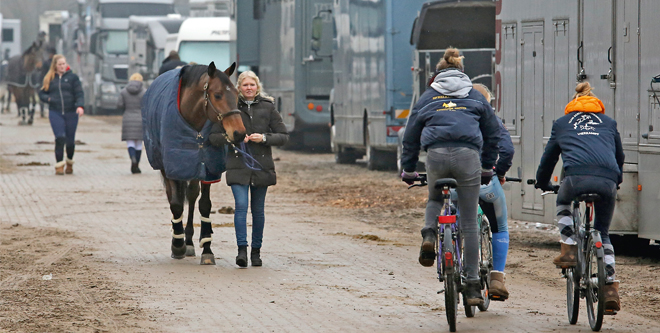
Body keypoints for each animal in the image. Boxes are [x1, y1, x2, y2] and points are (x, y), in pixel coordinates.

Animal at [142, 61, 248, 264]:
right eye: (218, 94)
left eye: (237, 94)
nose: (239, 133)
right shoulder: (172, 164)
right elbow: (175, 204)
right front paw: (177, 245)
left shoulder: (207, 167)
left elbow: (204, 204)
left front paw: (206, 249)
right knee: (173, 197)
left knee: (191, 195)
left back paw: (189, 241)